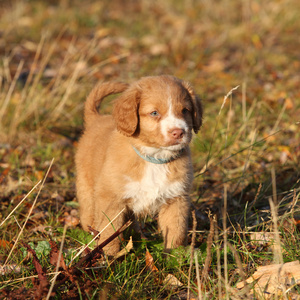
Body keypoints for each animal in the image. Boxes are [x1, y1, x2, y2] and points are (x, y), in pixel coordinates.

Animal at [75, 75, 203, 255]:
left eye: (185, 110)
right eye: (154, 113)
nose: (178, 132)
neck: (154, 158)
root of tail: (97, 118)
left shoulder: (176, 199)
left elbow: (175, 232)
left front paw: (175, 256)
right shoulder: (110, 199)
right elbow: (109, 232)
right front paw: (109, 257)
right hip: (86, 189)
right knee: (89, 216)